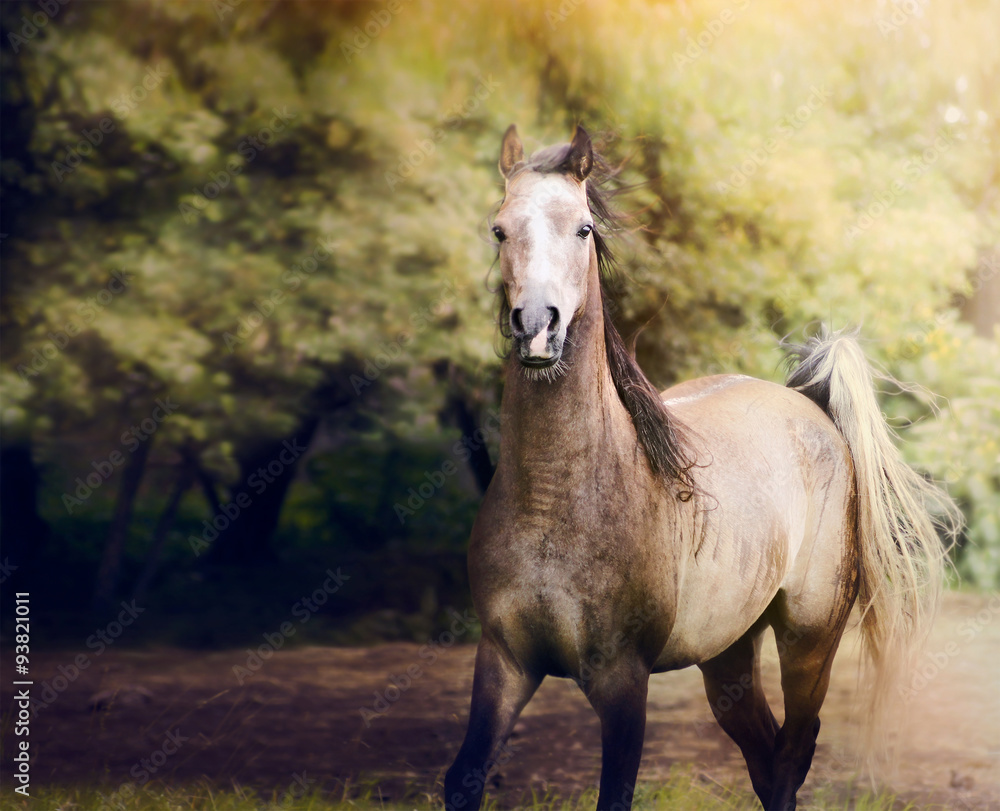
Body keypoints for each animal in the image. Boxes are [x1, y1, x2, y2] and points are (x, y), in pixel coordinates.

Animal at [444, 125, 955, 811]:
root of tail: (810, 406)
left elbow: (616, 794)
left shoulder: (623, 680)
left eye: (583, 228)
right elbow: (463, 779)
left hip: (810, 641)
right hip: (728, 653)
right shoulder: (505, 661)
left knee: (790, 757)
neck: (555, 499)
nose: (536, 328)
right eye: (499, 229)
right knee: (766, 759)